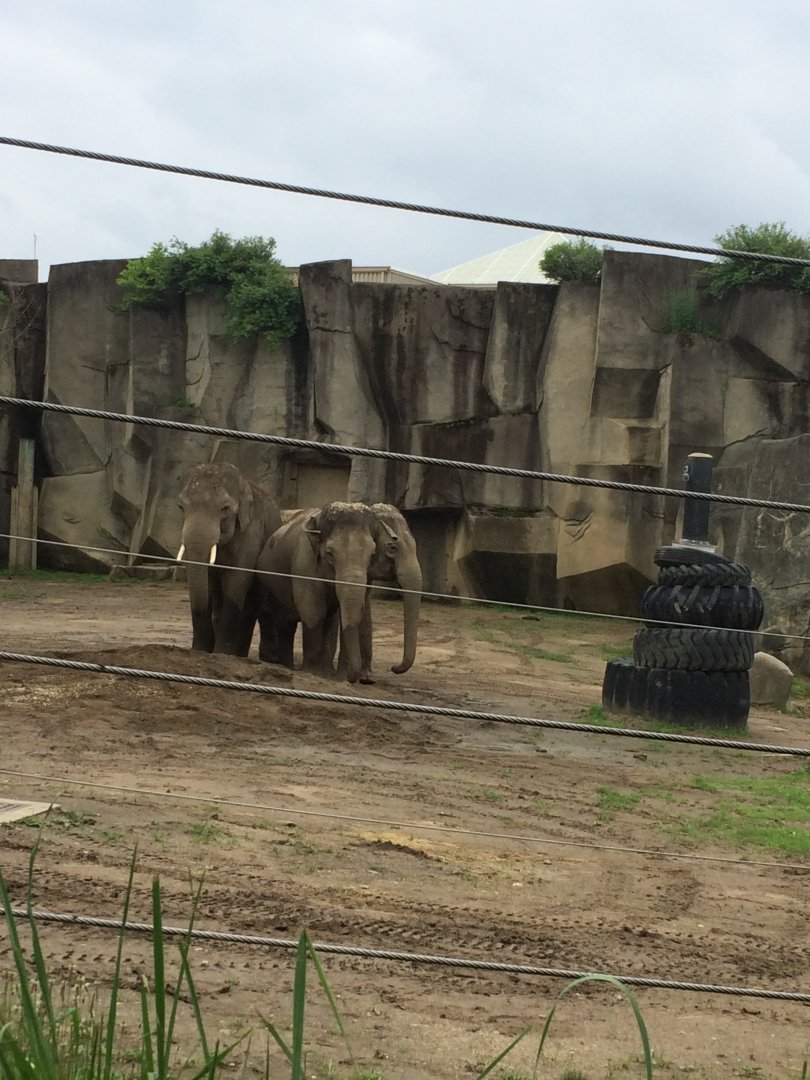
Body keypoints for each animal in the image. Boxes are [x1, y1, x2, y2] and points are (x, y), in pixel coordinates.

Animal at [176, 463, 282, 656]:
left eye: (225, 509)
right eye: (181, 507)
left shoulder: (251, 532)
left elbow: (237, 580)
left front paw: (222, 653)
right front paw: (200, 652)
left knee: (252, 605)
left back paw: (238, 654)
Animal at [256, 501, 422, 684]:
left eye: (371, 554)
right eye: (392, 548)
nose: (394, 667)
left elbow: (355, 613)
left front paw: (346, 678)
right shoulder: (304, 560)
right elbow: (313, 610)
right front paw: (314, 673)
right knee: (275, 616)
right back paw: (279, 663)